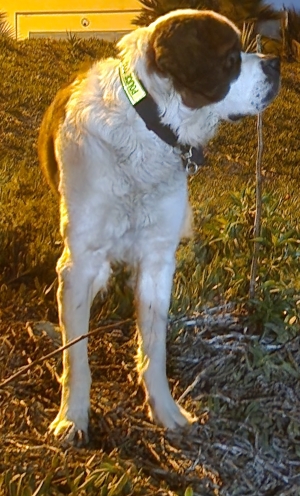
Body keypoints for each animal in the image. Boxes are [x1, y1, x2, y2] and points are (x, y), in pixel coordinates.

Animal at [38, 8, 280, 446]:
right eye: (230, 59)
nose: (276, 64)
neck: (147, 128)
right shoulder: (80, 262)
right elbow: (76, 355)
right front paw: (72, 418)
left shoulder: (157, 260)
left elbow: (154, 348)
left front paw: (165, 412)